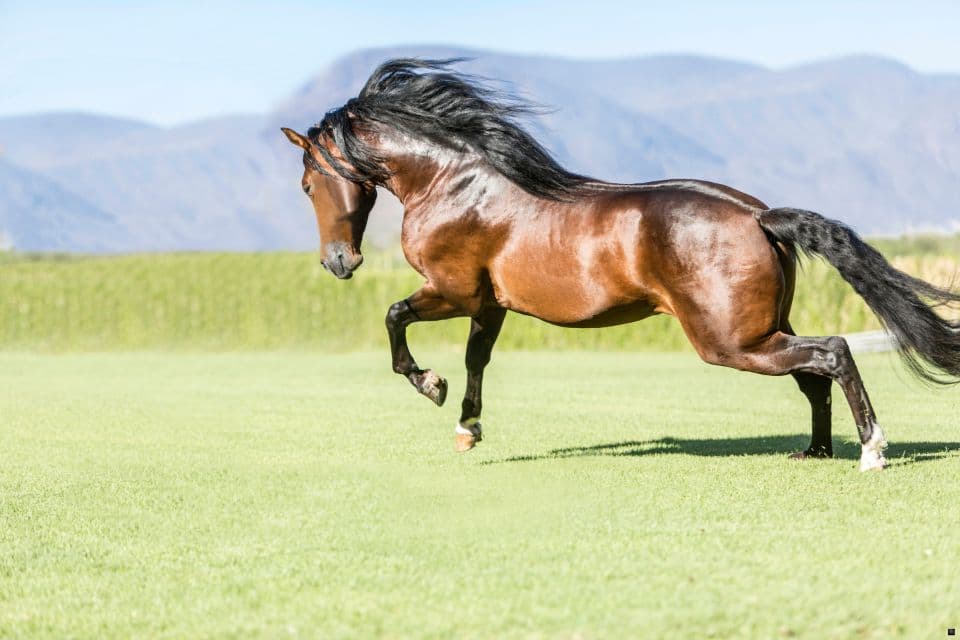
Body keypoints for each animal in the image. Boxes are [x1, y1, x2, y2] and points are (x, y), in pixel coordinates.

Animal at [281, 58, 960, 471]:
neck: (455, 183)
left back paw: (871, 450)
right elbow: (478, 360)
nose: (338, 263)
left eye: (308, 183)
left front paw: (431, 385)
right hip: (763, 329)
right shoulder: (489, 304)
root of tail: (760, 216)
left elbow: (395, 319)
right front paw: (467, 428)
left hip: (728, 340)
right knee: (814, 371)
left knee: (833, 352)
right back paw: (815, 452)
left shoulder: (452, 289)